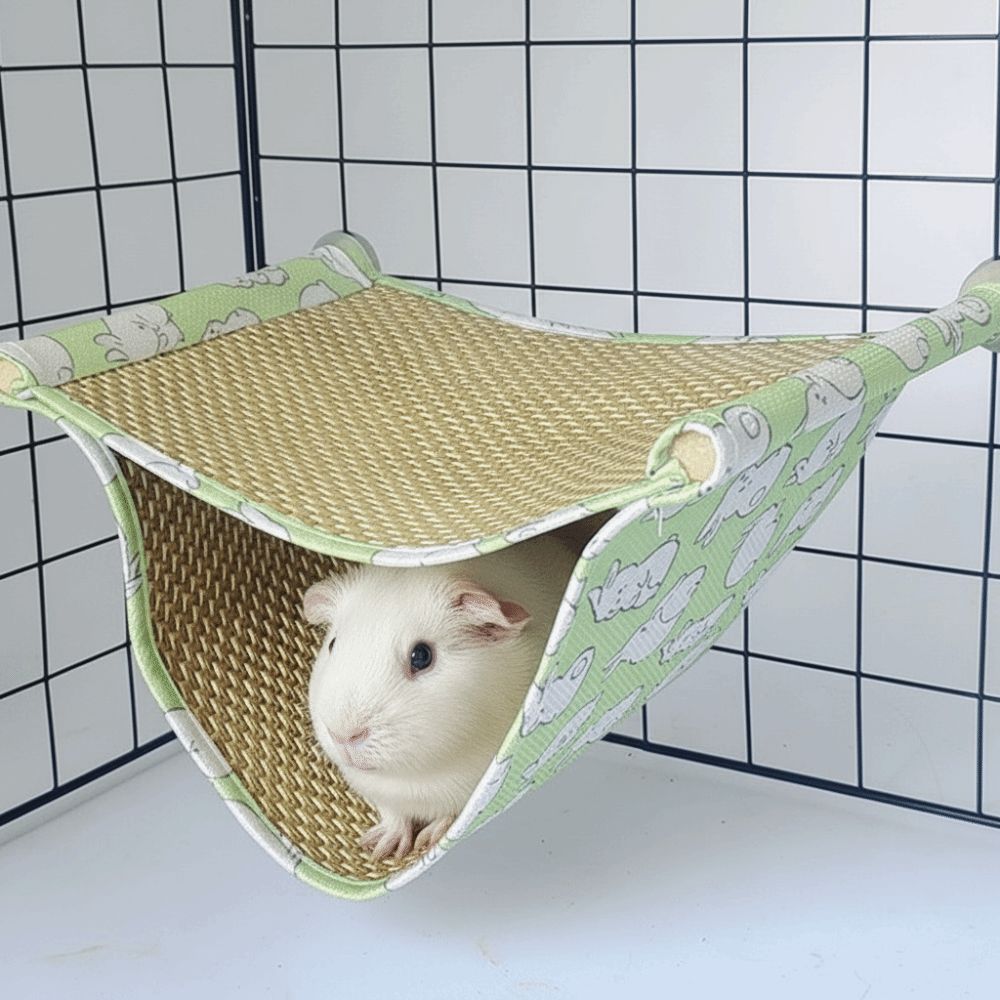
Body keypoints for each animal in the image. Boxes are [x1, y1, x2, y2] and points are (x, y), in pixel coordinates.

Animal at [303, 535, 578, 861]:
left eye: (421, 656)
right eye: (333, 643)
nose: (344, 736)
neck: (418, 780)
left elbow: (449, 813)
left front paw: (426, 839)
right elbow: (395, 815)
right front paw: (380, 848)